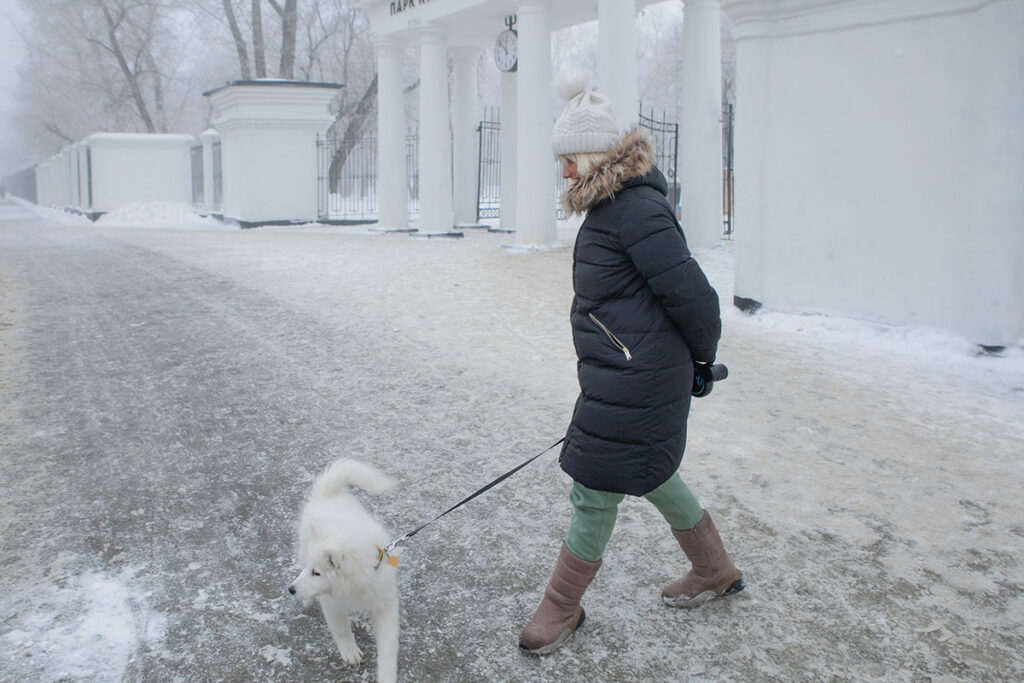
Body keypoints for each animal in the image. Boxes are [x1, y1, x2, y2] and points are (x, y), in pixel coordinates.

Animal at [290, 458, 401, 683]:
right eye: (312, 570)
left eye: (317, 573)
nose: (291, 589)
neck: (355, 588)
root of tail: (329, 493)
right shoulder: (332, 604)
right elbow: (341, 630)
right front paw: (350, 652)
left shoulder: (384, 605)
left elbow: (388, 647)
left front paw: (386, 675)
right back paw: (306, 600)